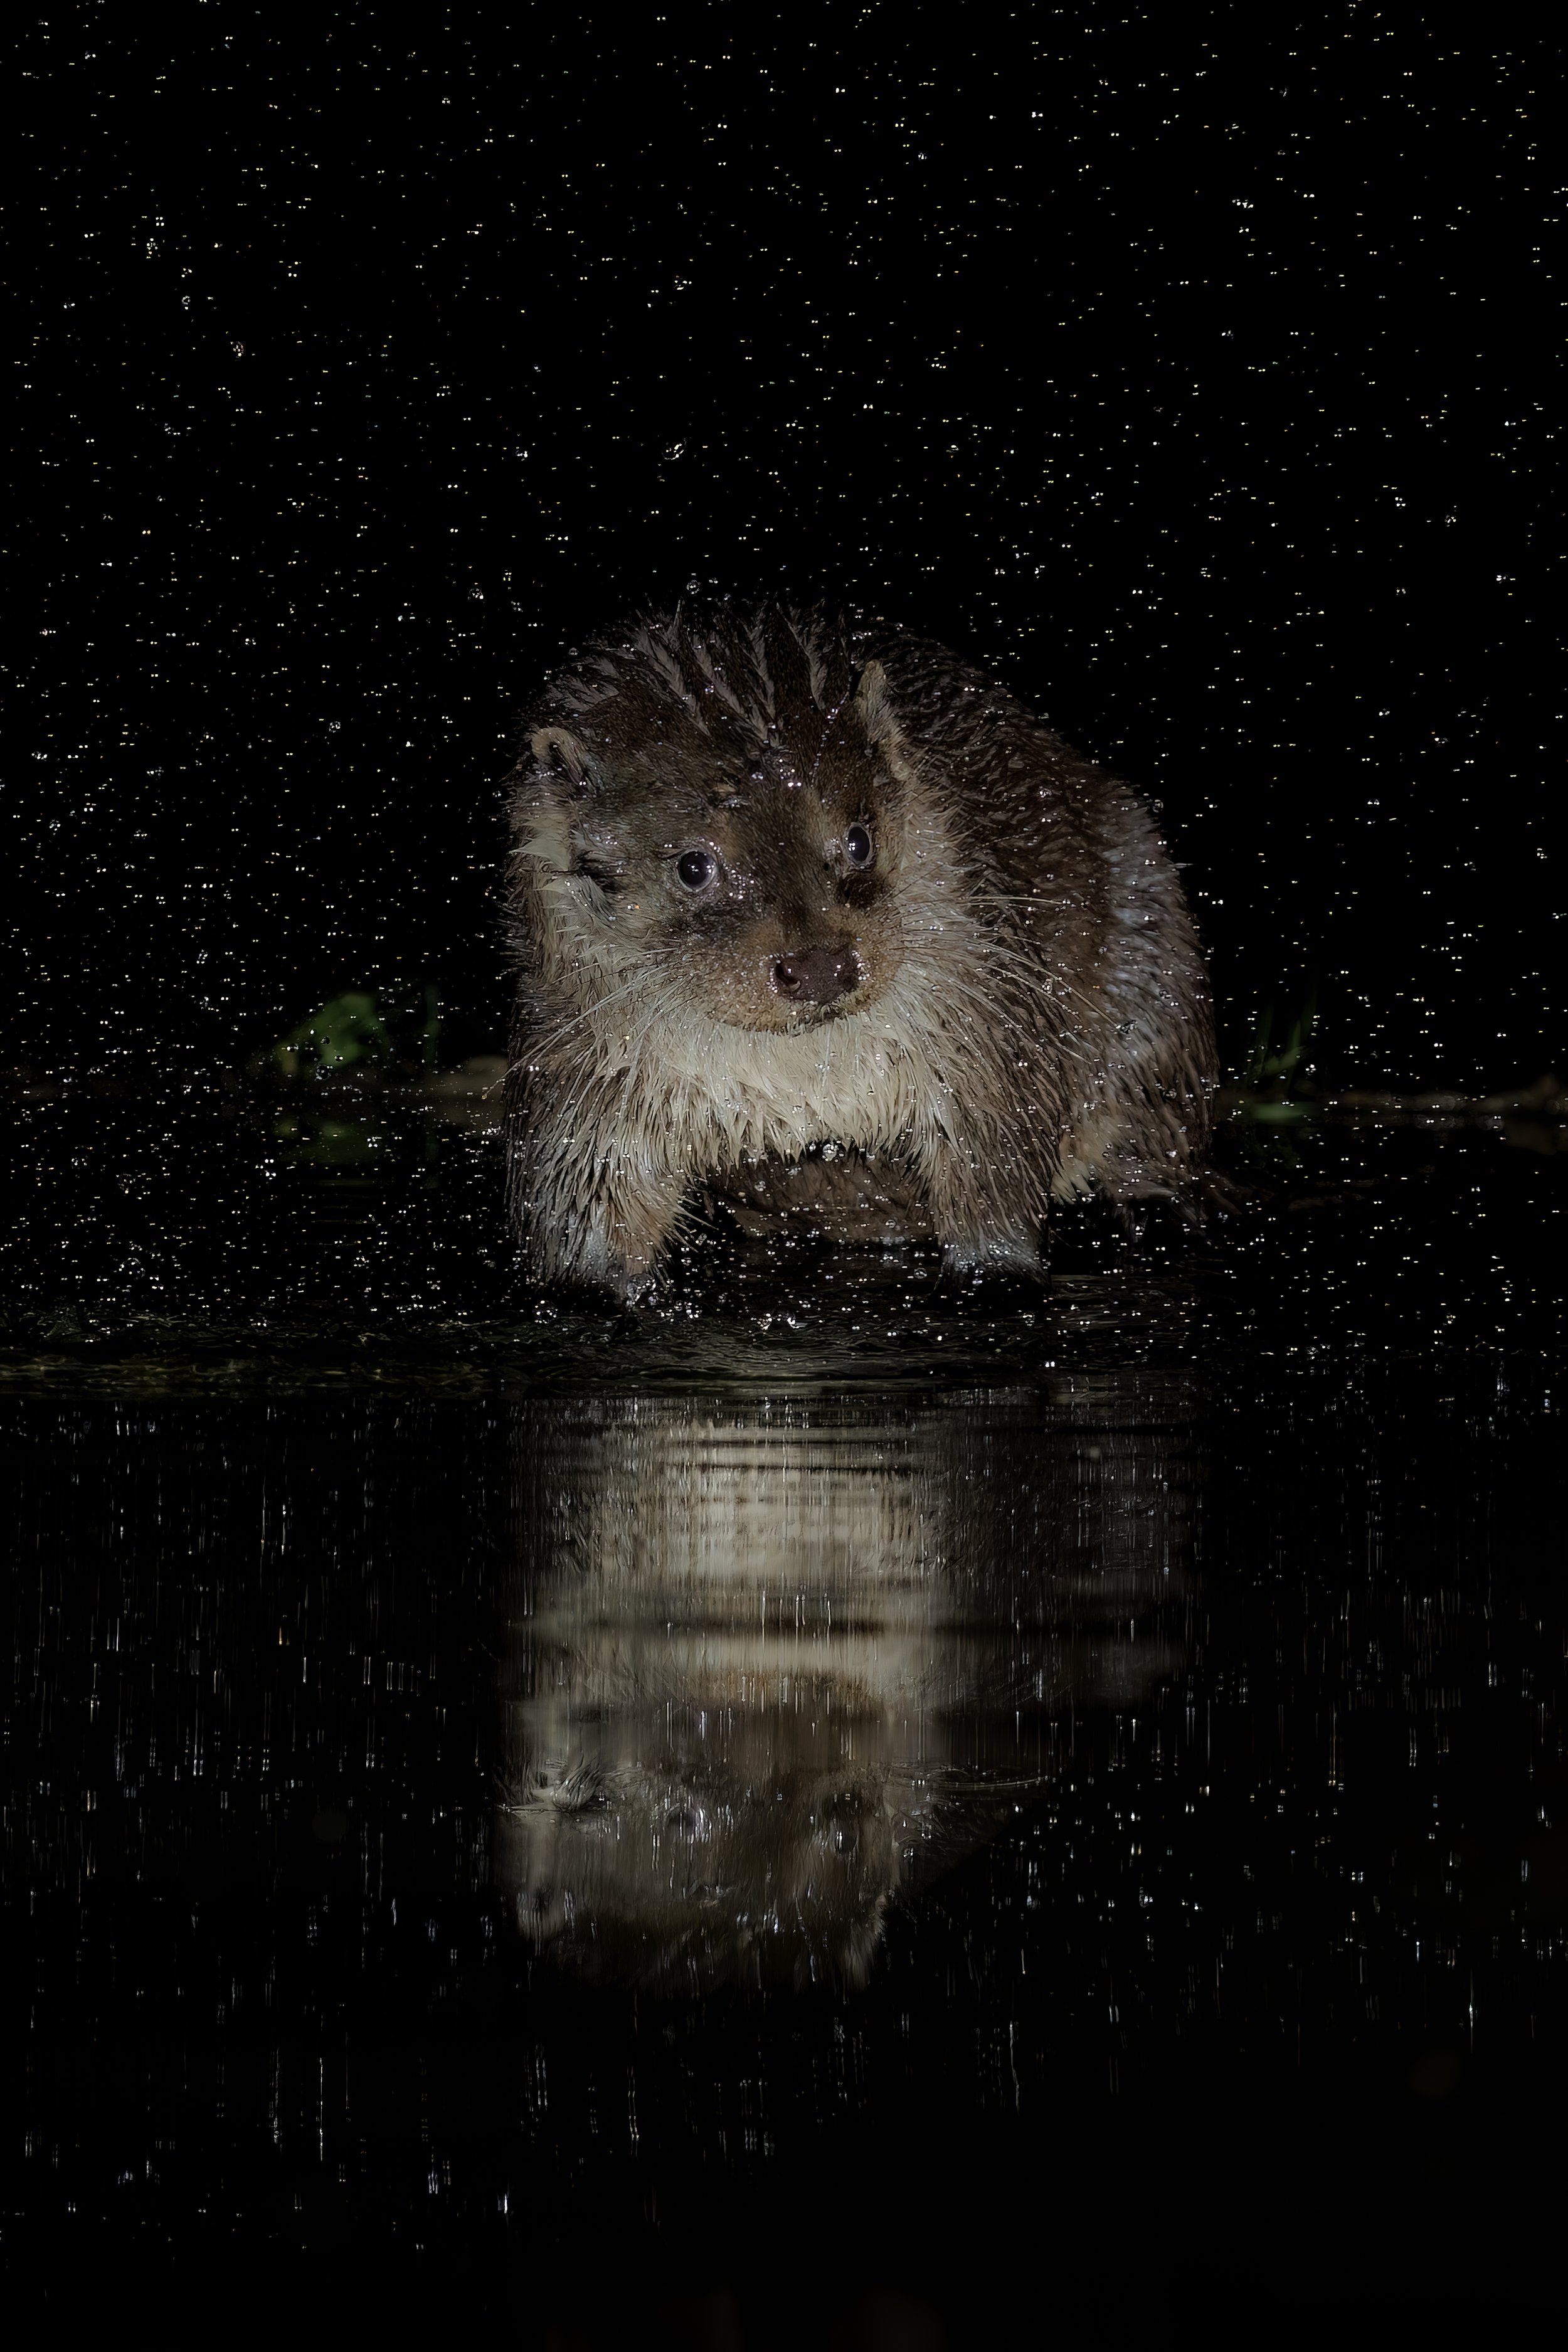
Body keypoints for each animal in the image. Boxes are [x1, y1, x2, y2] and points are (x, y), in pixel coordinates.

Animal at [503, 599, 1215, 1294]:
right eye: (694, 866)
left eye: (858, 839)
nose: (820, 964)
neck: (800, 1085)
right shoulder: (588, 1072)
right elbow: (587, 1213)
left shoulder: (983, 1020)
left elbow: (994, 1158)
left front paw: (992, 1269)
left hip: (1150, 942)